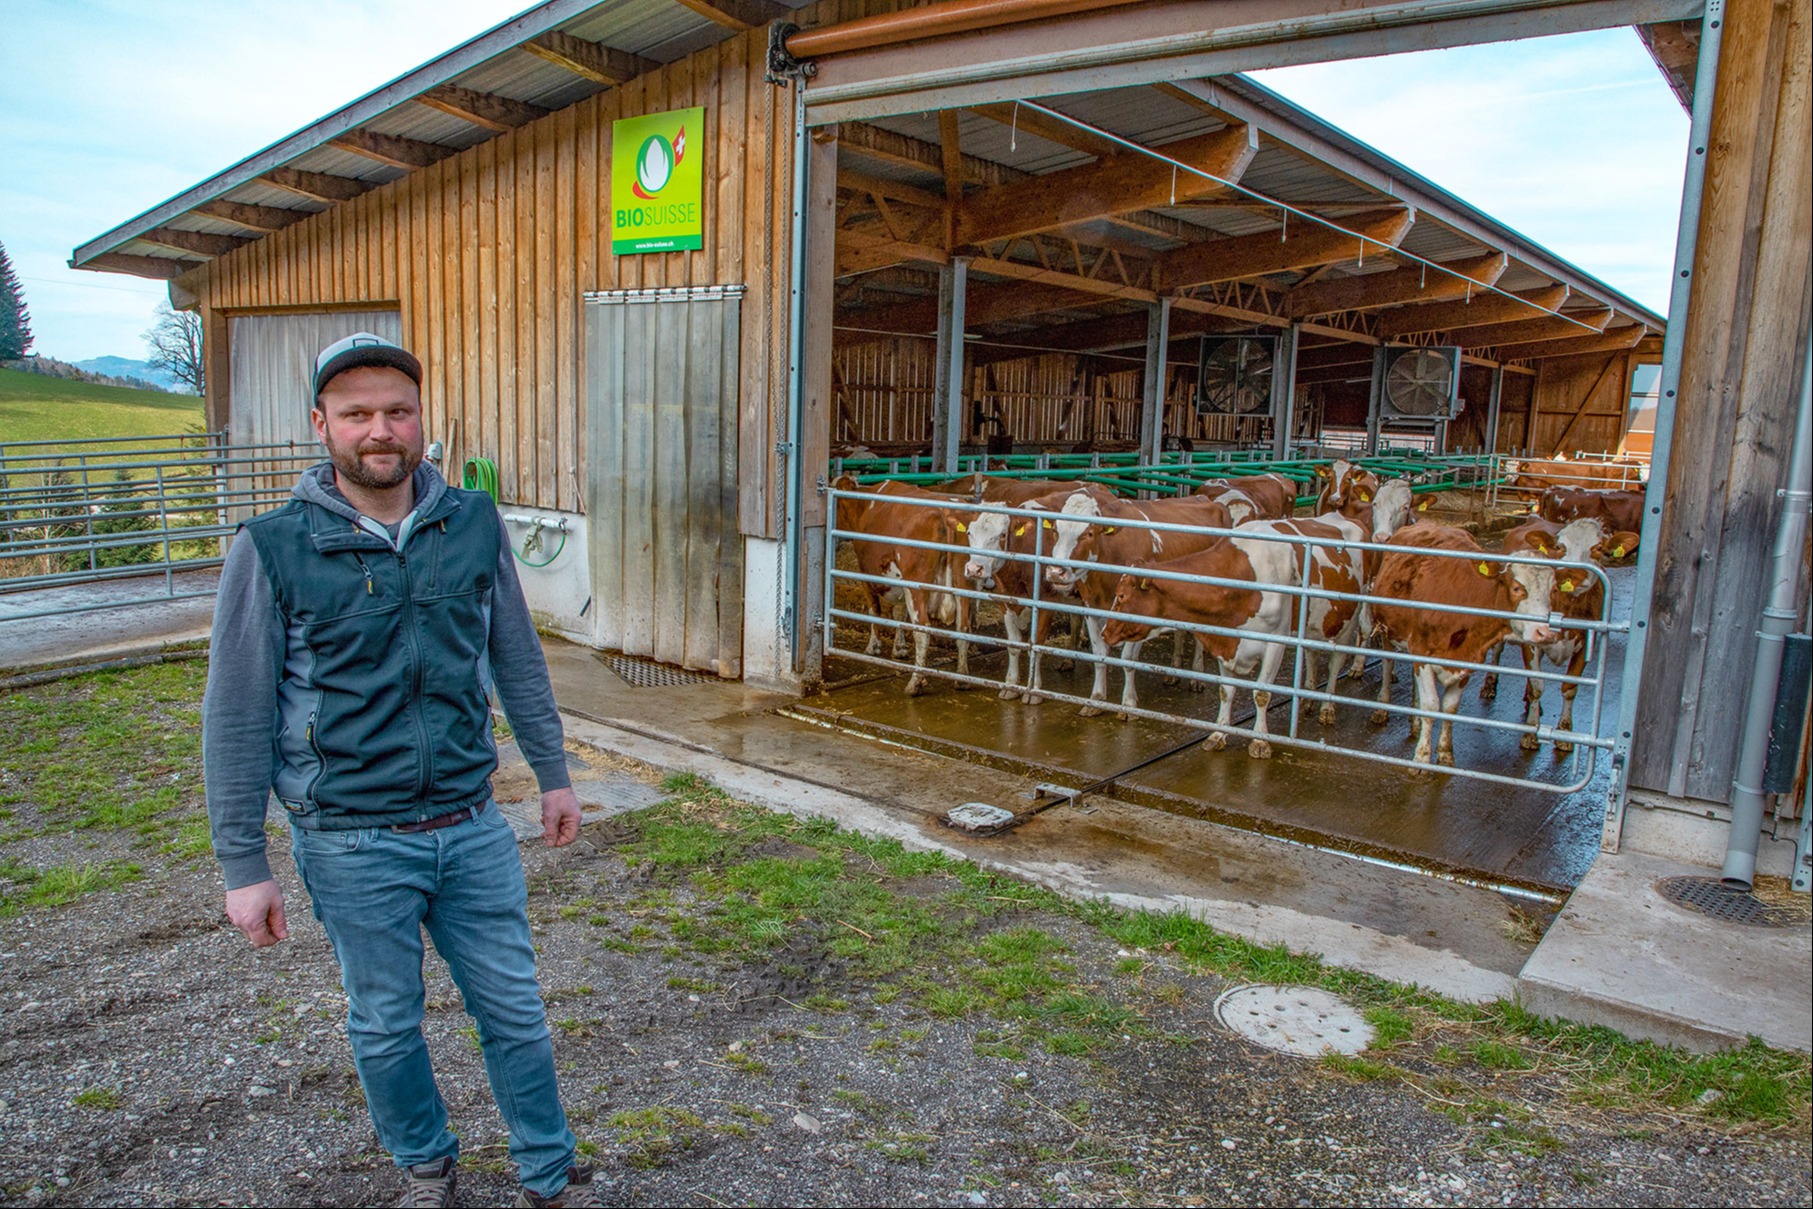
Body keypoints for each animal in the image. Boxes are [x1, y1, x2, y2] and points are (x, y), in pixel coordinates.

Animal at [1051, 485, 1232, 717]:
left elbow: (1128, 660)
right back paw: (1173, 671)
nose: (1056, 572)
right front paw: (1096, 700)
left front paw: (1128, 705)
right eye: (1056, 531)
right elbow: (1099, 655)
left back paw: (1196, 677)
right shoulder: (1092, 607)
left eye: (1088, 533)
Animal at [1363, 525, 1566, 772]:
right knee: (1388, 663)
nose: (1545, 632)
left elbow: (1450, 708)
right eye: (1517, 588)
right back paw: (1382, 709)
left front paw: (1445, 754)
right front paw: (1421, 758)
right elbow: (1431, 705)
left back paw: (1415, 723)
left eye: (1553, 590)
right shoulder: (1422, 652)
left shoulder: (1467, 660)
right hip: (1389, 632)